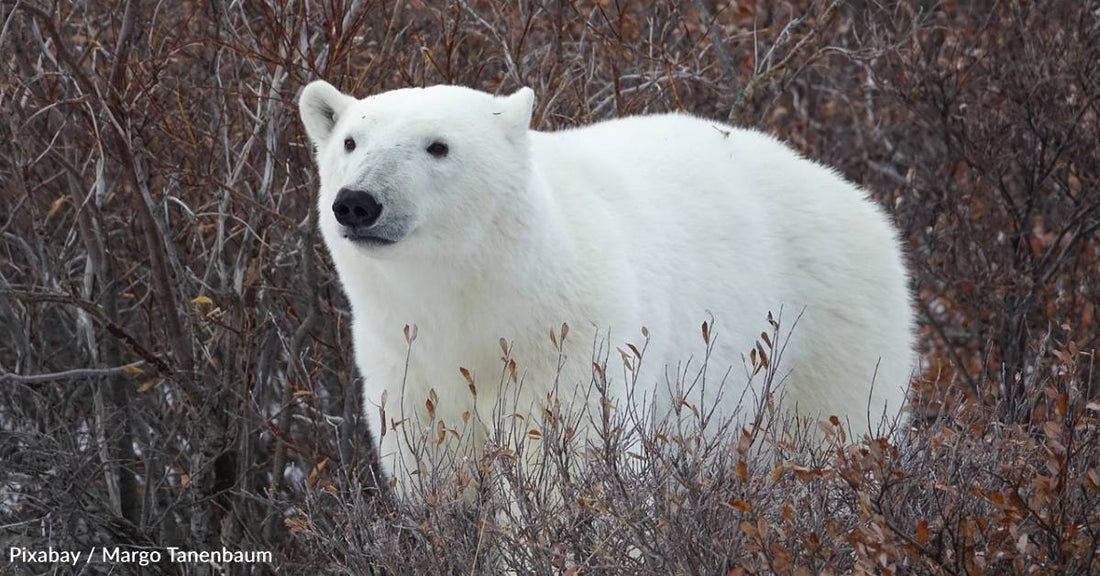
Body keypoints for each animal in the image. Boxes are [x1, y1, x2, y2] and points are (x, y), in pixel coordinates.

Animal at [301, 79, 919, 485]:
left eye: (438, 145)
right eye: (351, 142)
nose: (357, 202)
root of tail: (859, 199)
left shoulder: (571, 340)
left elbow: (562, 466)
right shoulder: (403, 357)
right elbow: (431, 464)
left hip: (826, 332)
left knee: (835, 438)